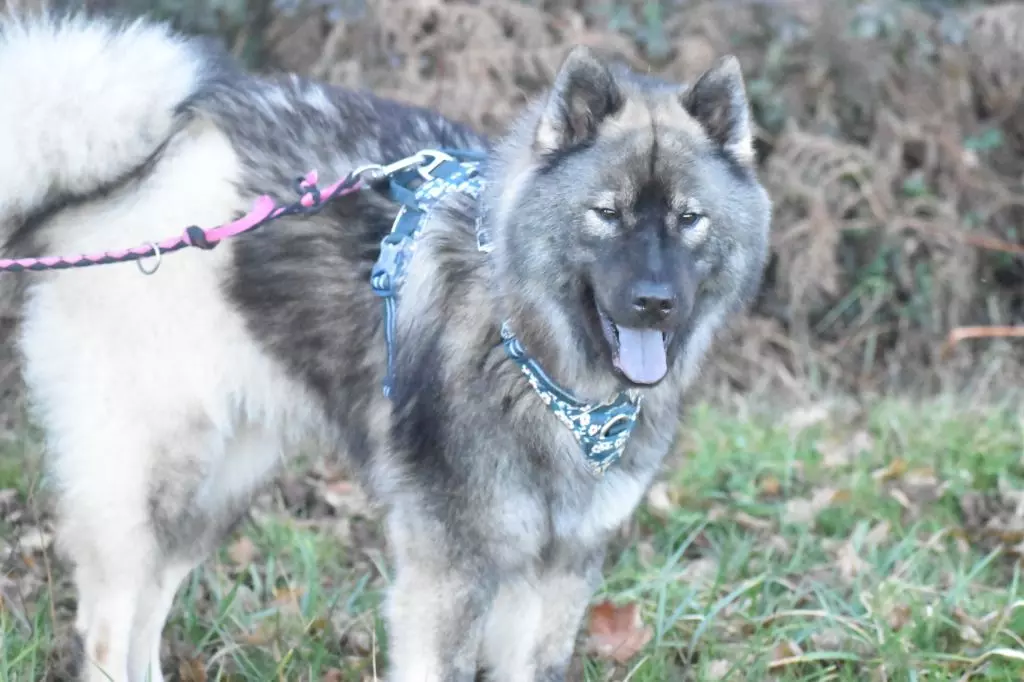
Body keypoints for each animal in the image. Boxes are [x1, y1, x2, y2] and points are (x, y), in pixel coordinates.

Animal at [0, 10, 770, 679]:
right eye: (606, 214)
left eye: (689, 219)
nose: (655, 301)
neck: (537, 365)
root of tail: (137, 174)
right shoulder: (450, 574)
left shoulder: (557, 573)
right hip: (153, 479)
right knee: (109, 624)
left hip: (219, 487)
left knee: (147, 608)